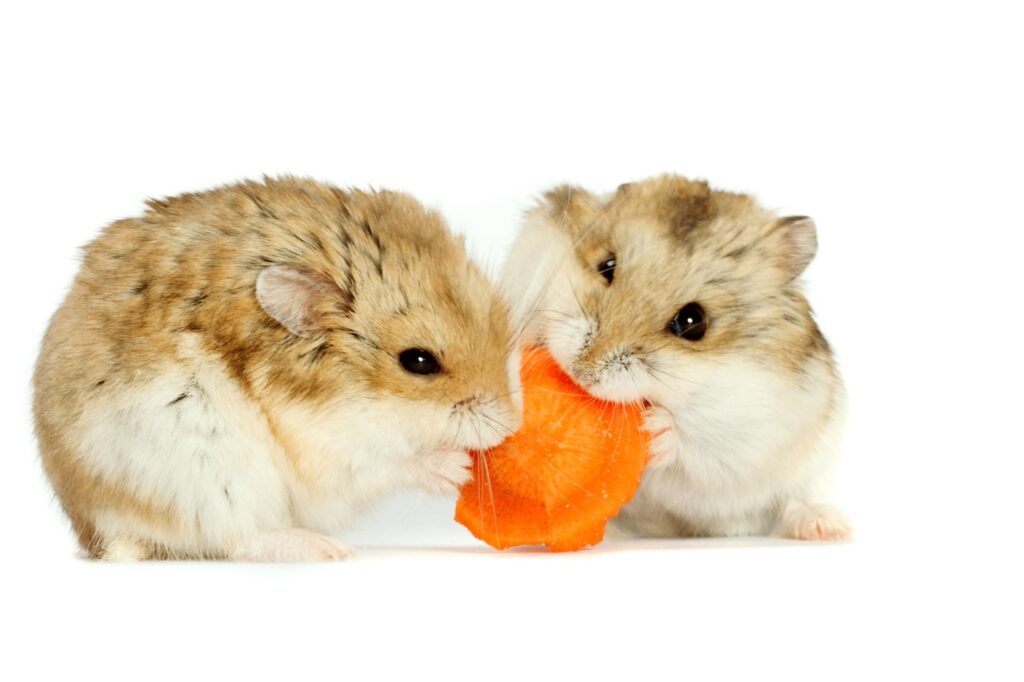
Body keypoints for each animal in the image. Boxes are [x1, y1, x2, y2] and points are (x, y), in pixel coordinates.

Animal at [33, 177, 522, 561]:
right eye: (418, 361)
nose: (511, 426)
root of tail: (99, 530)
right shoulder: (333, 455)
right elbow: (391, 465)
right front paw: (456, 468)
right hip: (204, 468)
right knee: (239, 537)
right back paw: (326, 549)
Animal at [502, 175, 850, 540]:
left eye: (692, 322)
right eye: (606, 266)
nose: (582, 371)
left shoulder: (756, 430)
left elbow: (694, 440)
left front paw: (655, 427)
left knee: (800, 498)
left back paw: (825, 528)